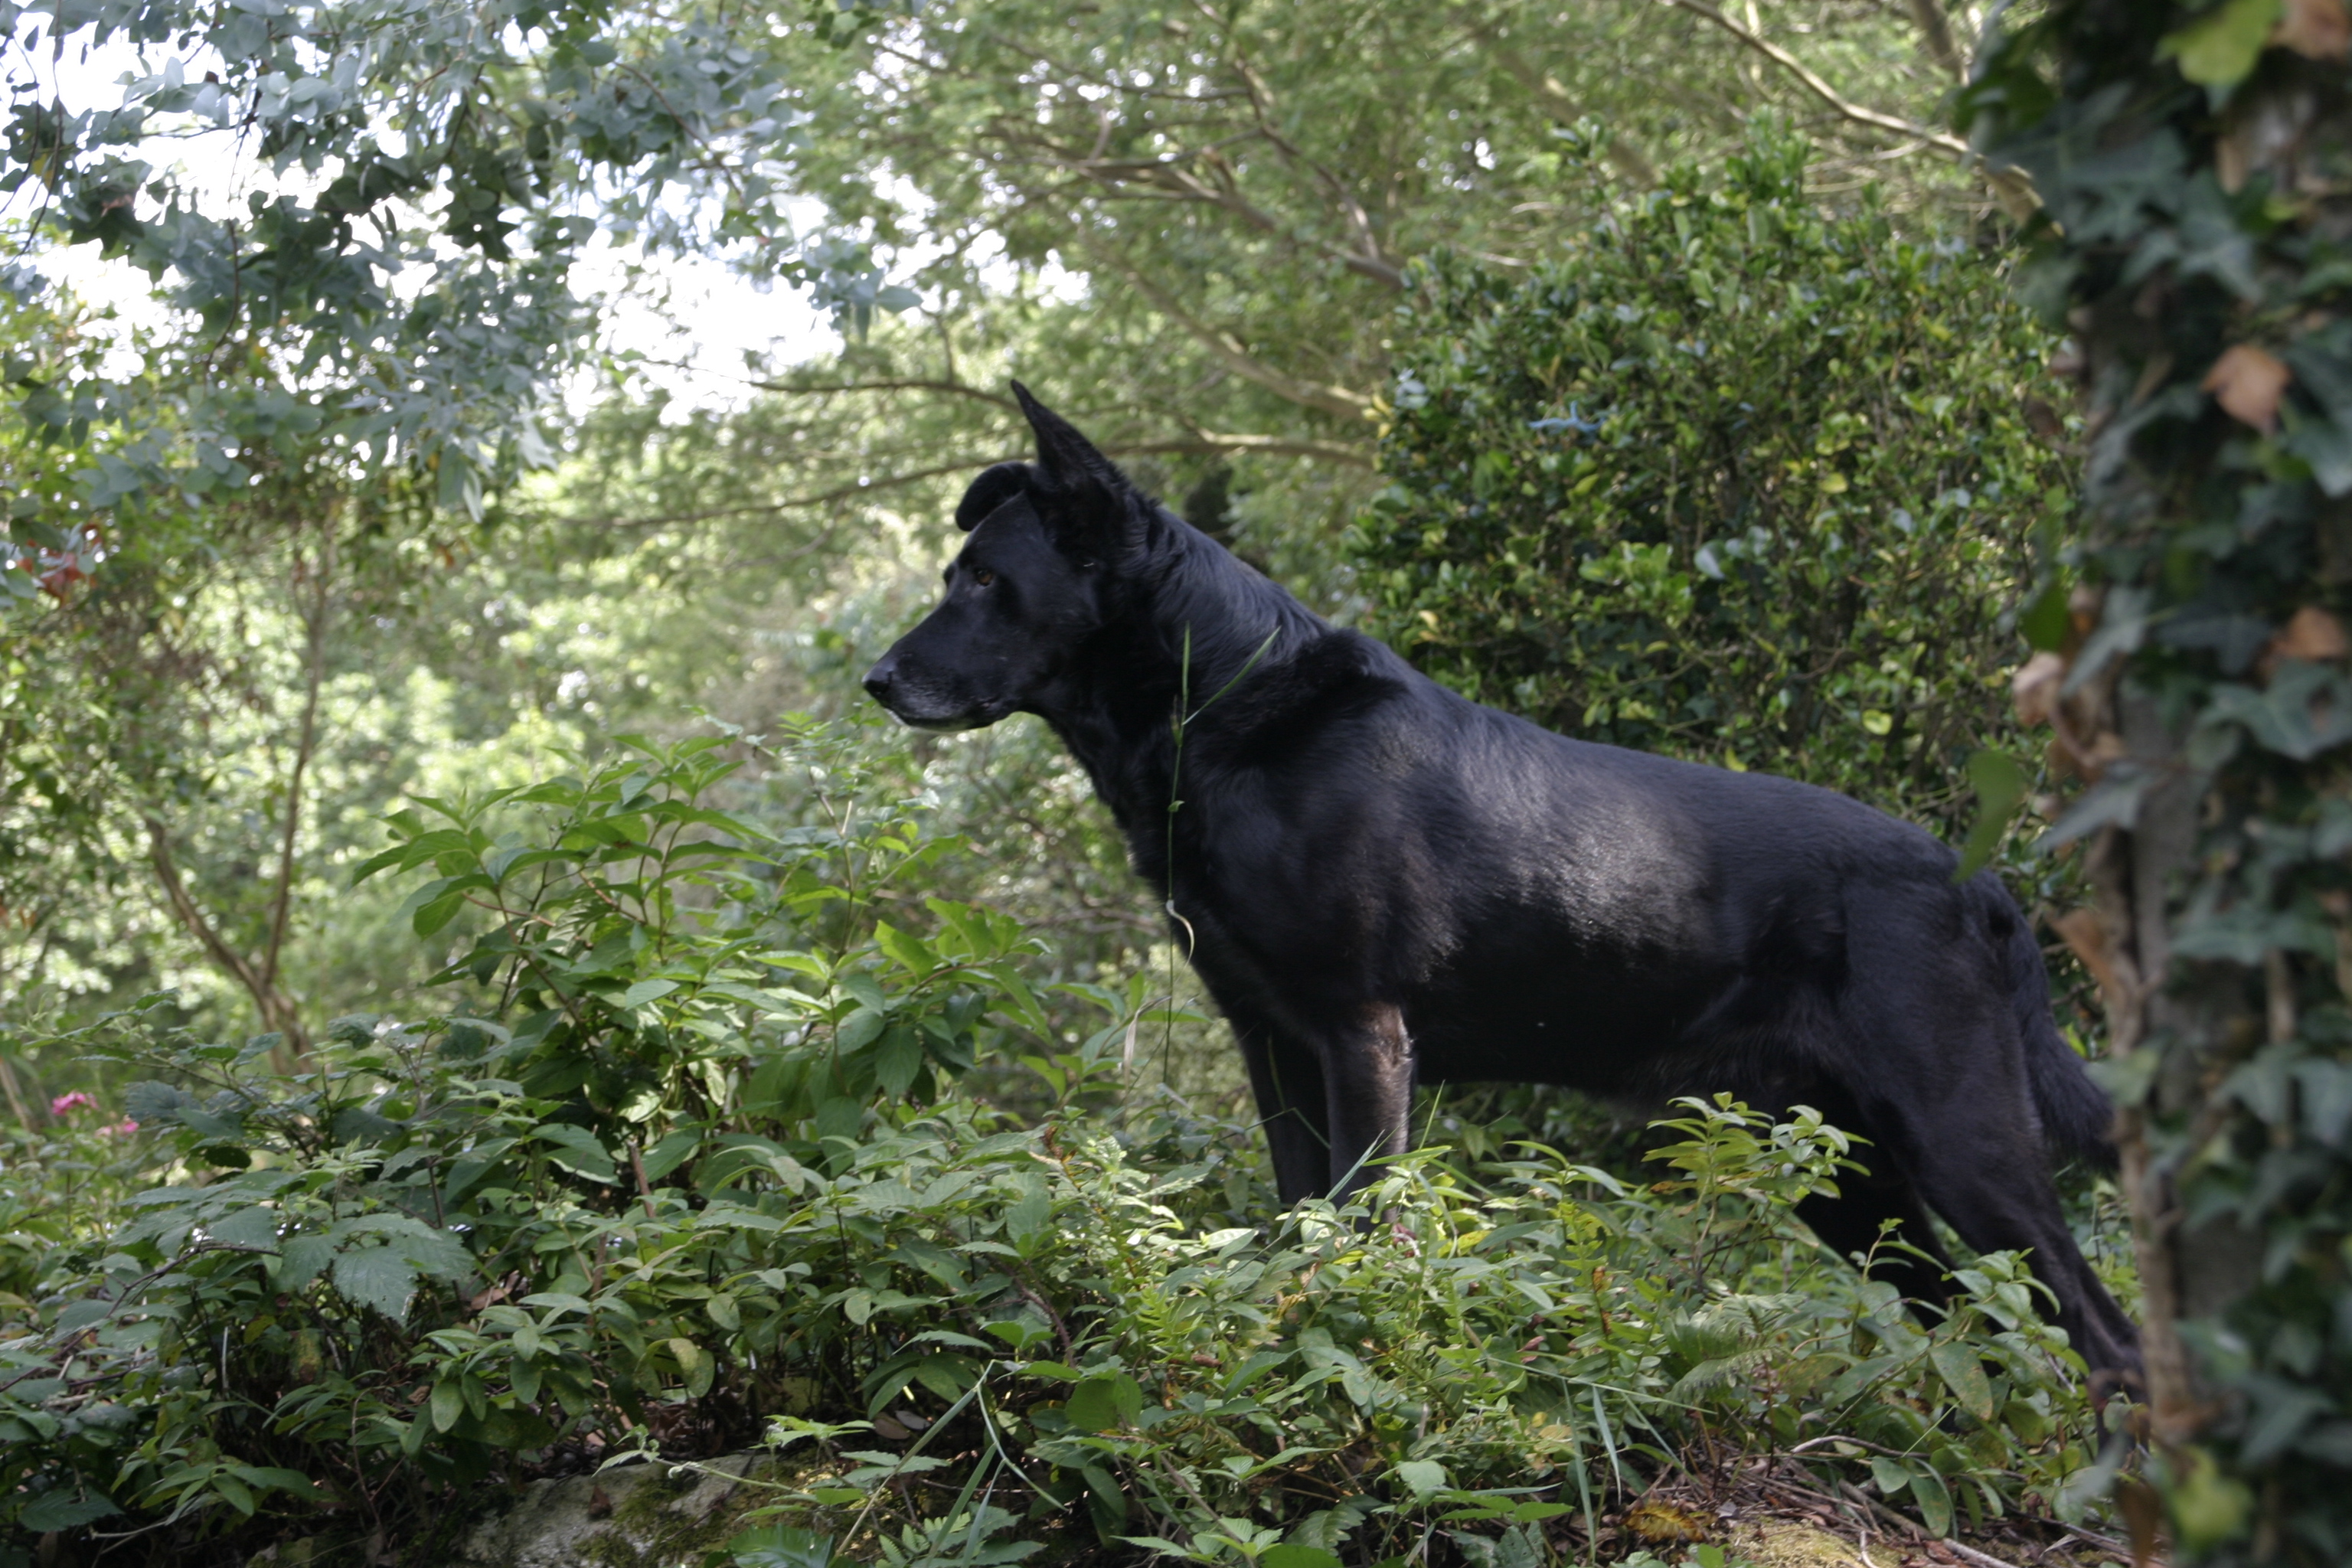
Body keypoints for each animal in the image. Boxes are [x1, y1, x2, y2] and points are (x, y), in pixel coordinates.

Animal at [864, 384, 2140, 1376]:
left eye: (984, 582)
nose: (876, 681)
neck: (1223, 711)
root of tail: (1978, 885)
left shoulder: (1363, 1035)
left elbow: (1360, 1221)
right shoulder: (1270, 1042)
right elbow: (1297, 1217)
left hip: (1962, 1139)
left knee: (2105, 1336)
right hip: (1848, 1173)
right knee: (1974, 1330)